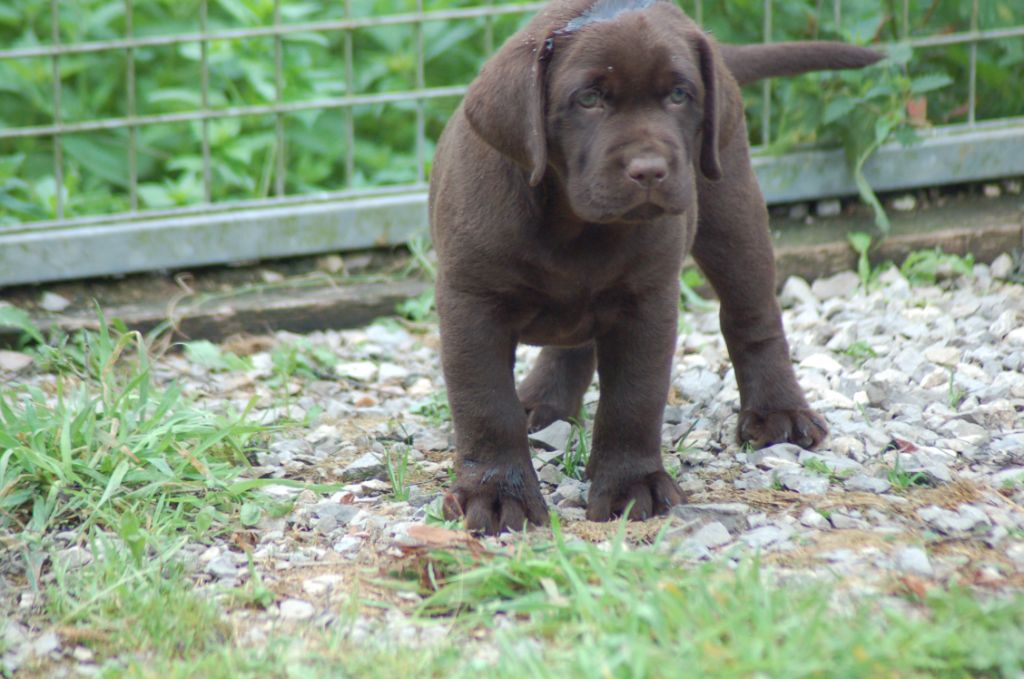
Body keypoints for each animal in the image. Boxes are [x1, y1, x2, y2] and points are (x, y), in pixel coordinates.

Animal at [428, 0, 882, 534]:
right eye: (588, 99)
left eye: (680, 95)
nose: (649, 170)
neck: (573, 223)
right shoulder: (471, 301)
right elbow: (486, 405)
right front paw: (498, 494)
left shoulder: (646, 303)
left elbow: (634, 400)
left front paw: (631, 485)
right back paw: (545, 401)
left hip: (732, 211)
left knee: (753, 315)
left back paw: (780, 412)